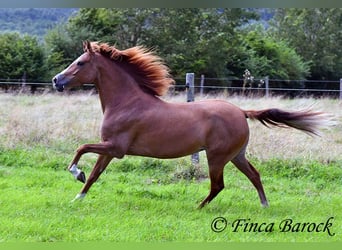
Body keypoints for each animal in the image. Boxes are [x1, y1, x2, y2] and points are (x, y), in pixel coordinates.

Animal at [51, 41, 328, 208]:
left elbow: (81, 148)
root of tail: (241, 112)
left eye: (80, 62)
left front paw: (75, 173)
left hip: (217, 157)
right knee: (254, 175)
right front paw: (78, 196)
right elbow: (94, 175)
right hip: (236, 155)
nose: (56, 80)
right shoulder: (109, 149)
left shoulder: (115, 148)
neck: (126, 103)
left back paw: (199, 207)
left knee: (218, 185)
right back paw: (264, 206)